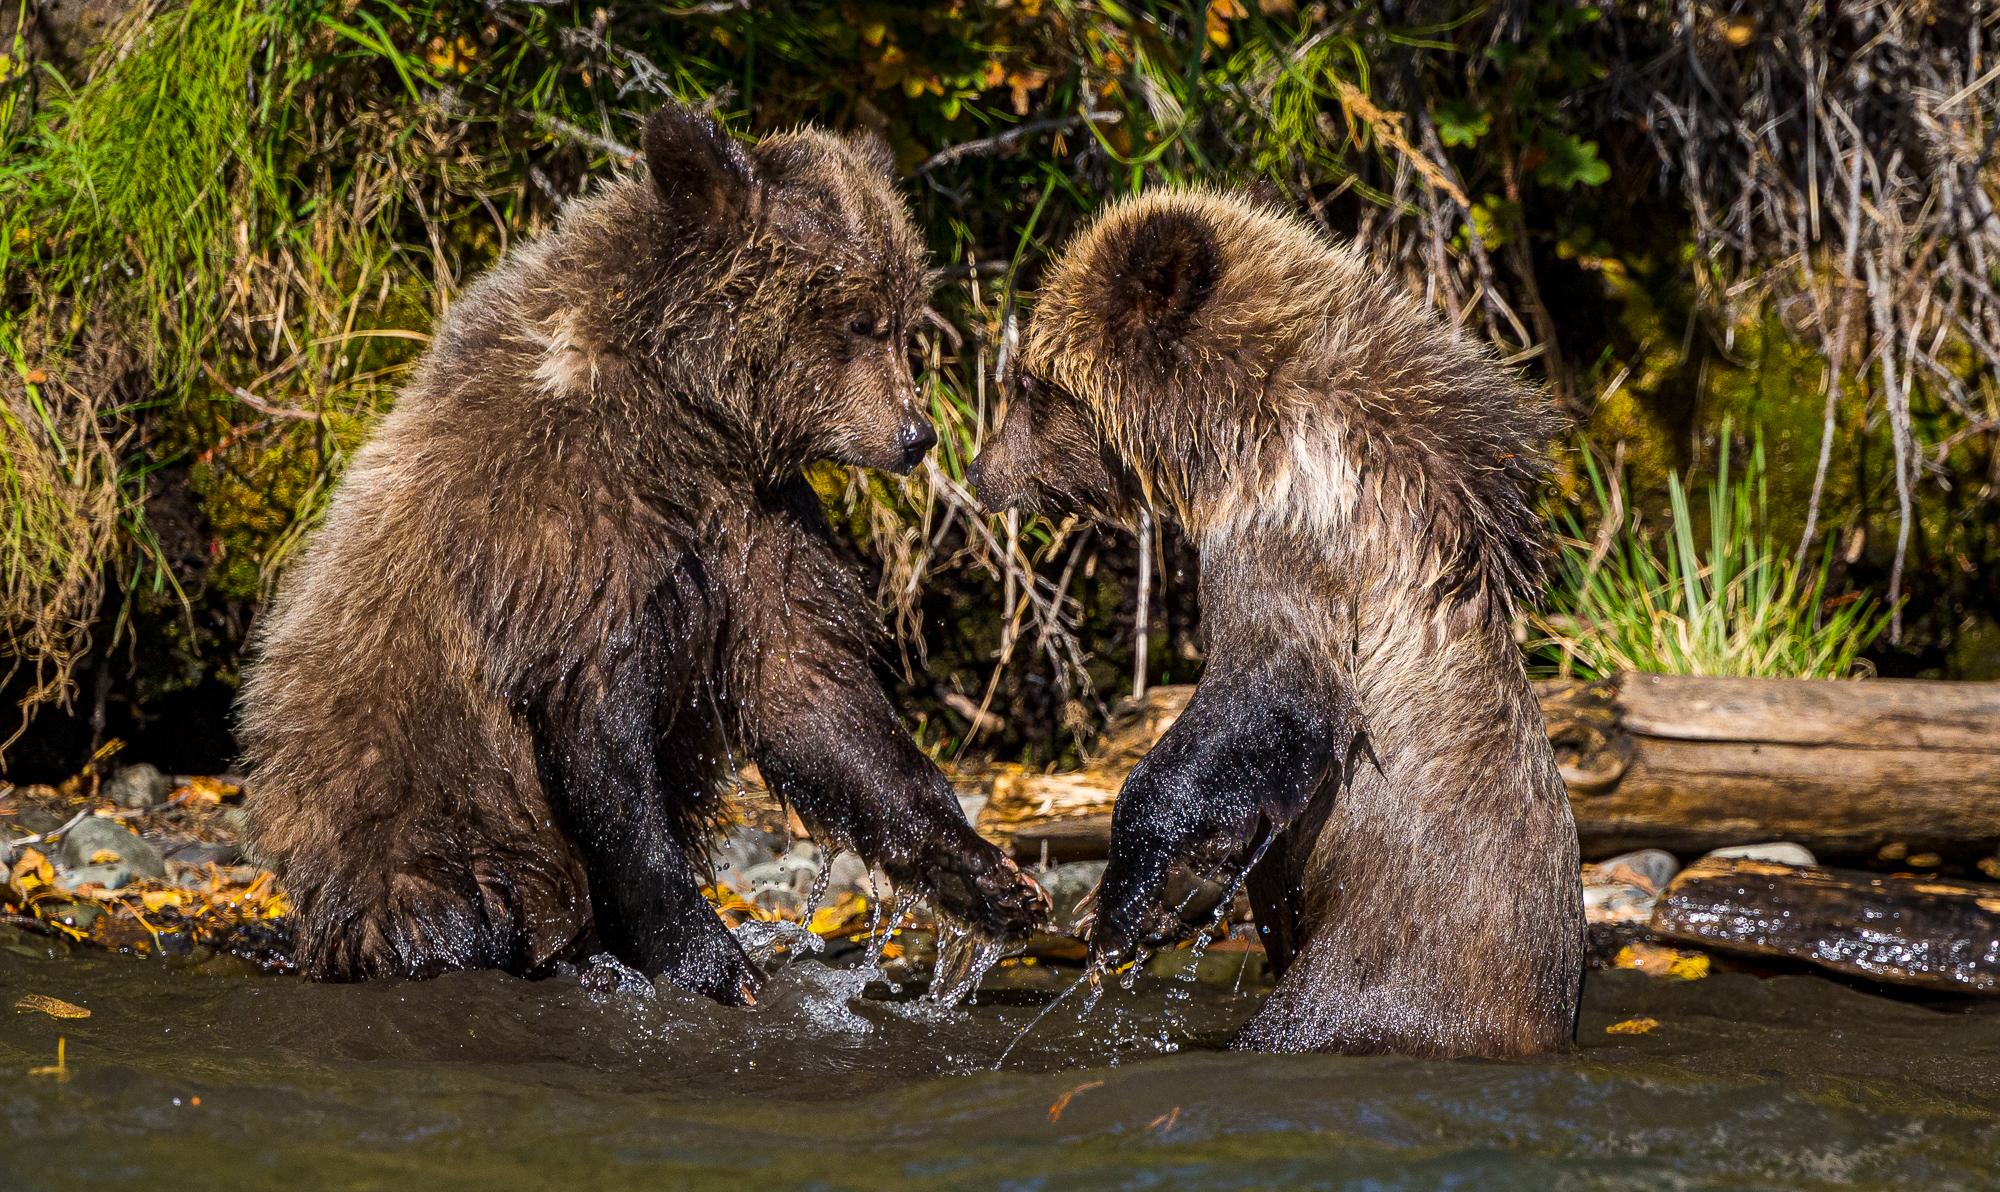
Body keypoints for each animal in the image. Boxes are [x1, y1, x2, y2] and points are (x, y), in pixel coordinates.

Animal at [238, 101, 1047, 1000]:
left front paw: (992, 879)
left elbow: (812, 693)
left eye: (903, 320)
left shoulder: (751, 521)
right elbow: (606, 749)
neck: (686, 414)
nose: (916, 435)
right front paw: (714, 960)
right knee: (443, 904)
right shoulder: (568, 530)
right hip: (417, 818)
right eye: (858, 321)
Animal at [966, 188, 1584, 1059]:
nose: (982, 472)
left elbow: (1270, 694)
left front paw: (1122, 899)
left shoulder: (1297, 528)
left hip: (1379, 976)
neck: (1235, 430)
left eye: (1031, 383)